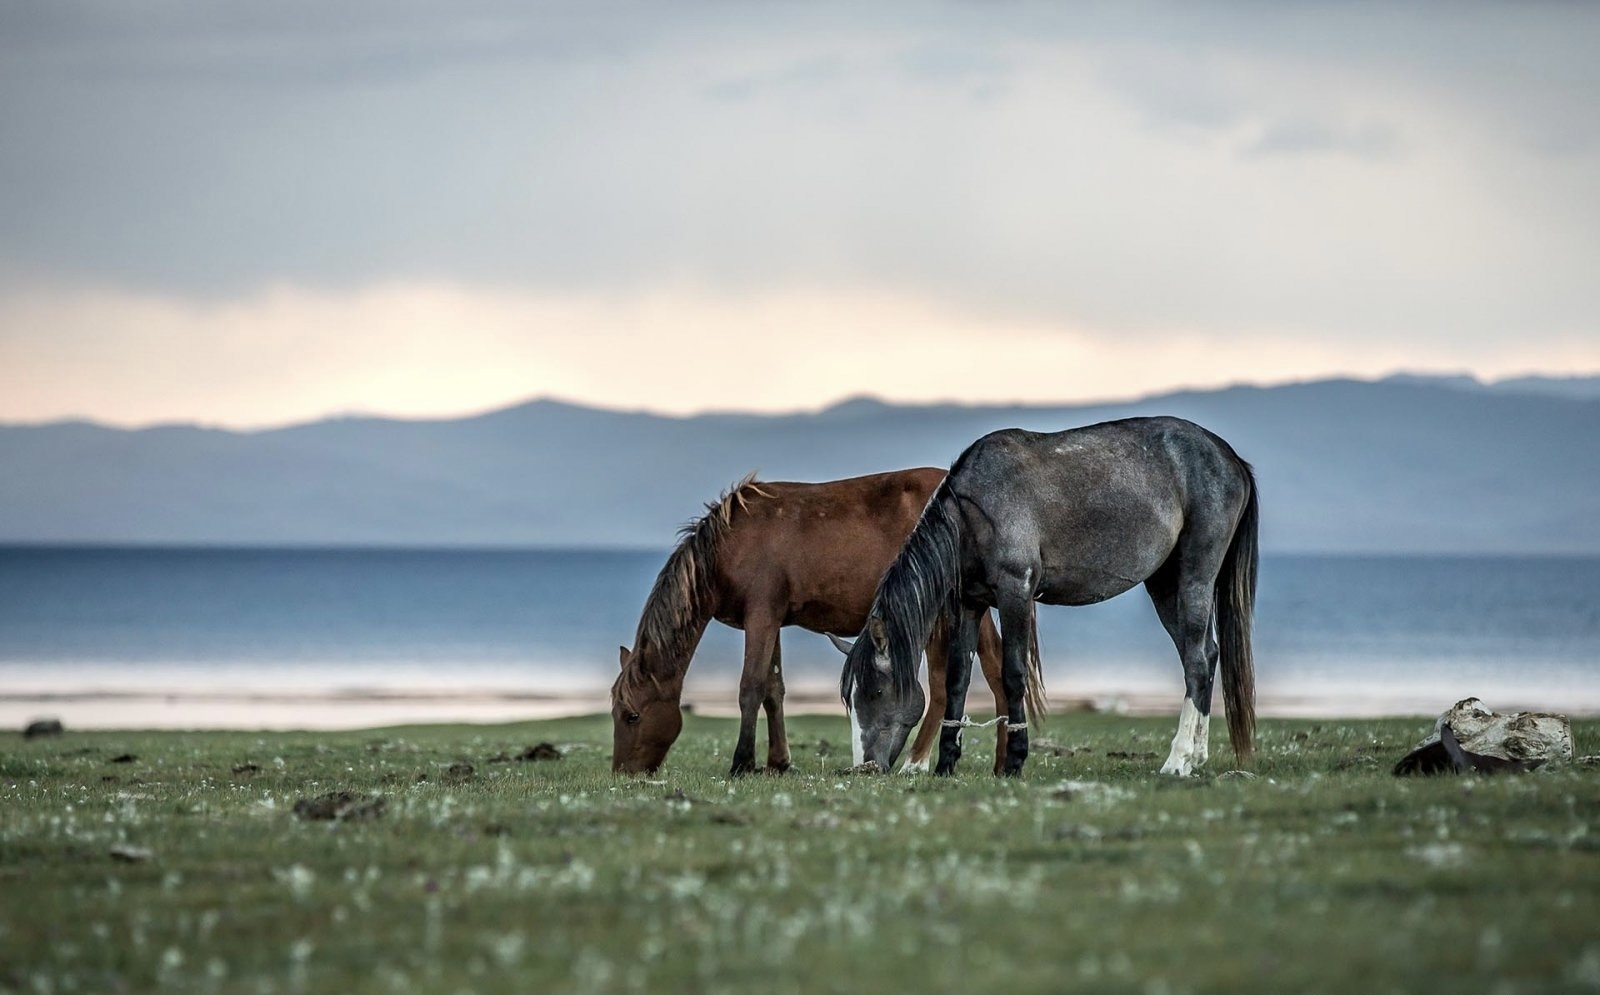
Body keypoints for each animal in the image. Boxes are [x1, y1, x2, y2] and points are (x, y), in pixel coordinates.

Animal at [611, 470, 1024, 780]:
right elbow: (773, 690)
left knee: (972, 676)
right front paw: (778, 762)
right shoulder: (769, 620)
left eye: (632, 715)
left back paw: (939, 761)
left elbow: (750, 687)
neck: (727, 546)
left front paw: (742, 762)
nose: (622, 772)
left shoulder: (761, 616)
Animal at [844, 415, 1254, 777]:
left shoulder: (1016, 593)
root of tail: (1229, 456)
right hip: (1165, 585)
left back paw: (1177, 761)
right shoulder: (969, 604)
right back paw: (1195, 756)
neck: (975, 509)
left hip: (1195, 576)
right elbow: (957, 679)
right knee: (1202, 656)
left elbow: (1013, 674)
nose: (865, 766)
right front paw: (946, 764)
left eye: (876, 691)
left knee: (1198, 661)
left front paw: (1014, 761)